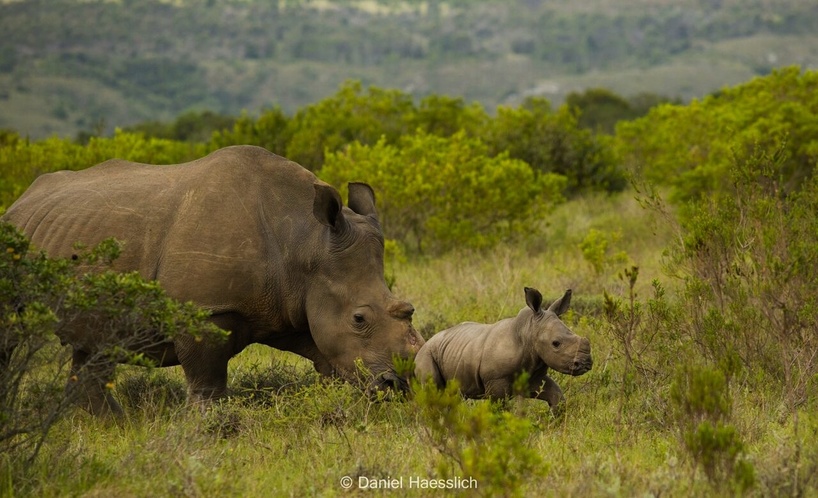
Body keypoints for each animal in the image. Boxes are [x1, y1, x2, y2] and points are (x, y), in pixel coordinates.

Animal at [0, 145, 420, 416]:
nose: (399, 386)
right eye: (359, 318)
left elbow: (330, 361)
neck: (304, 243)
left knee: (91, 343)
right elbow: (207, 376)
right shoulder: (205, 309)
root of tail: (19, 200)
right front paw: (210, 426)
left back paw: (106, 423)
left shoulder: (296, 305)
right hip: (13, 240)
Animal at [414, 286, 588, 410]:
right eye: (556, 343)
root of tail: (425, 342)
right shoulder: (496, 380)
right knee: (433, 389)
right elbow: (499, 408)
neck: (527, 332)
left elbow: (555, 394)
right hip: (426, 354)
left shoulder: (533, 375)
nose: (586, 363)